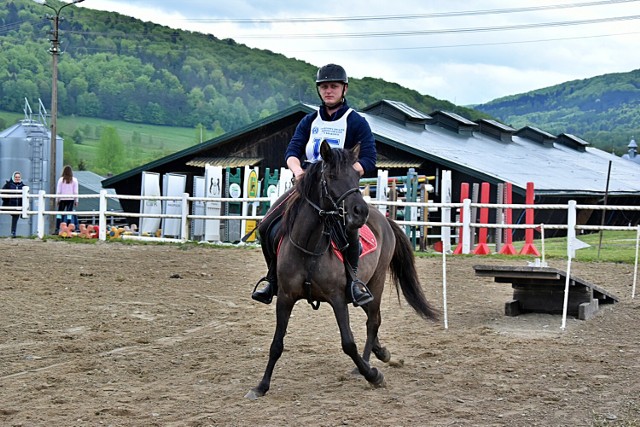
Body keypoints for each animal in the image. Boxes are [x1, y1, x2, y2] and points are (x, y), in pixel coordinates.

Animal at [246, 141, 440, 402]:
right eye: (331, 176)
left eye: (357, 175)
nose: (359, 212)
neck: (309, 247)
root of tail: (384, 218)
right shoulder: (285, 298)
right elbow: (276, 344)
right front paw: (261, 386)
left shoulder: (337, 298)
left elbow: (348, 343)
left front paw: (373, 375)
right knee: (374, 320)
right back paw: (380, 353)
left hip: (376, 283)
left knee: (373, 321)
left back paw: (366, 365)